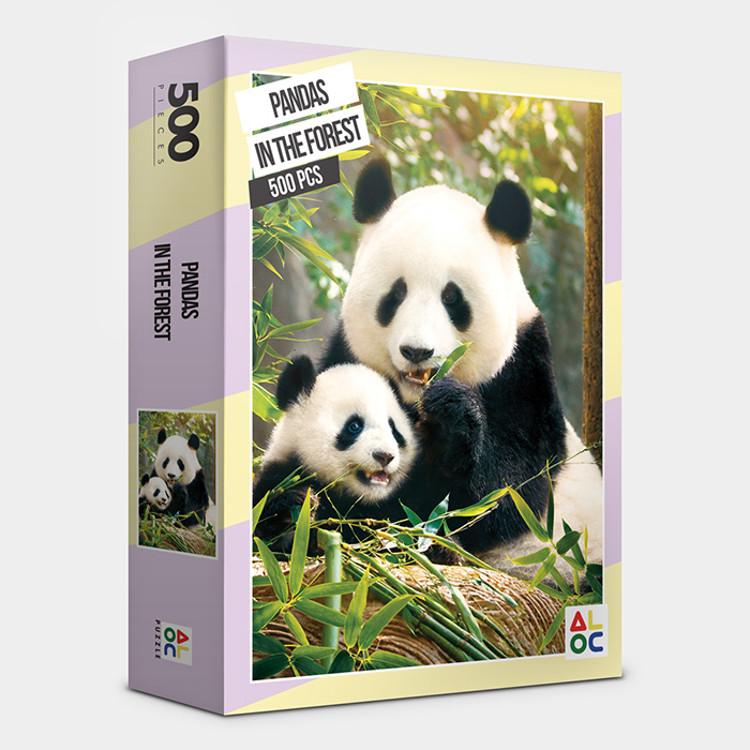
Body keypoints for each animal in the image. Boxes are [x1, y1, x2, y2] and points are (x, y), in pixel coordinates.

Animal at [319, 157, 603, 572]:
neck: (414, 401)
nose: (417, 351)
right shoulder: (346, 358)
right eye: (396, 294)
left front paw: (454, 413)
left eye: (452, 298)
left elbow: (506, 493)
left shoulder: (523, 370)